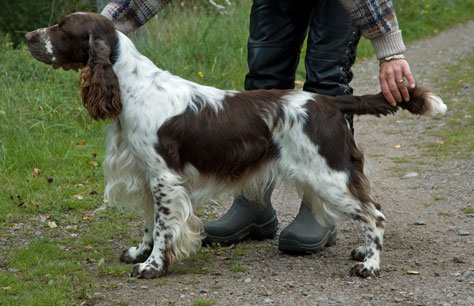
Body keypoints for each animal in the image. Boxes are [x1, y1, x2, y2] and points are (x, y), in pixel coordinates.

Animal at [25, 13, 448, 278]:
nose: (28, 37)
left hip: (328, 174)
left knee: (374, 215)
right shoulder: (147, 175)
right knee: (371, 209)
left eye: (61, 26)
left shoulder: (164, 176)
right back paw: (362, 251)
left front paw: (152, 267)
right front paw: (139, 252)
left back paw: (369, 266)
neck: (132, 86)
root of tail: (329, 102)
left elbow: (163, 227)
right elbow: (149, 222)